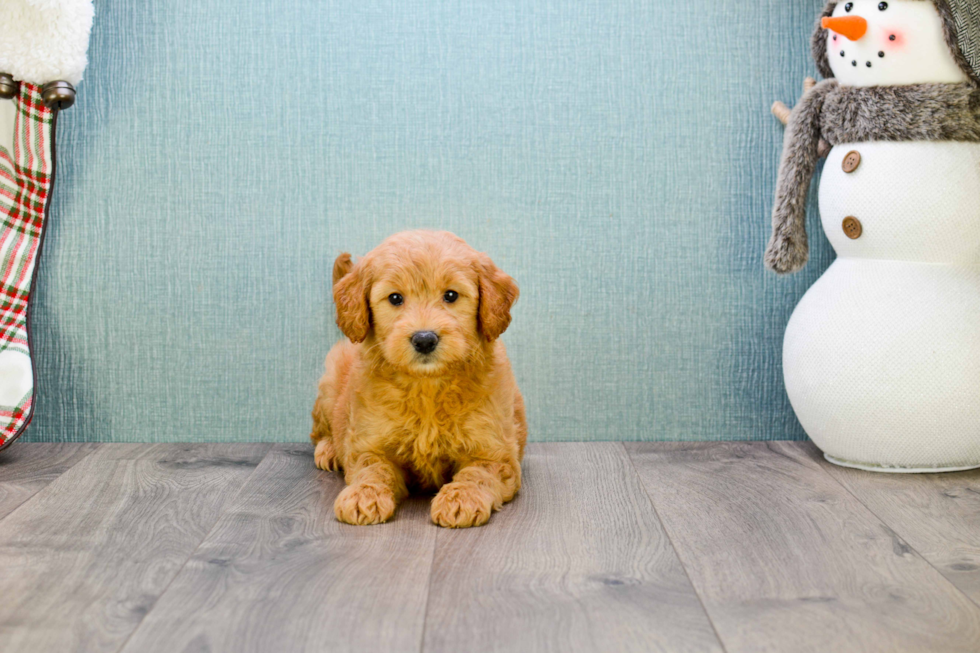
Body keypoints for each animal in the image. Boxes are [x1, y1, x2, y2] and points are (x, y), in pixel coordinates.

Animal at [310, 229, 524, 524]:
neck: (427, 386)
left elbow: (477, 473)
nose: (424, 339)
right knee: (320, 429)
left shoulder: (495, 453)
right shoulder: (369, 445)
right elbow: (372, 468)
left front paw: (461, 498)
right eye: (395, 298)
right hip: (329, 385)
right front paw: (364, 495)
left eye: (450, 295)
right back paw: (328, 449)